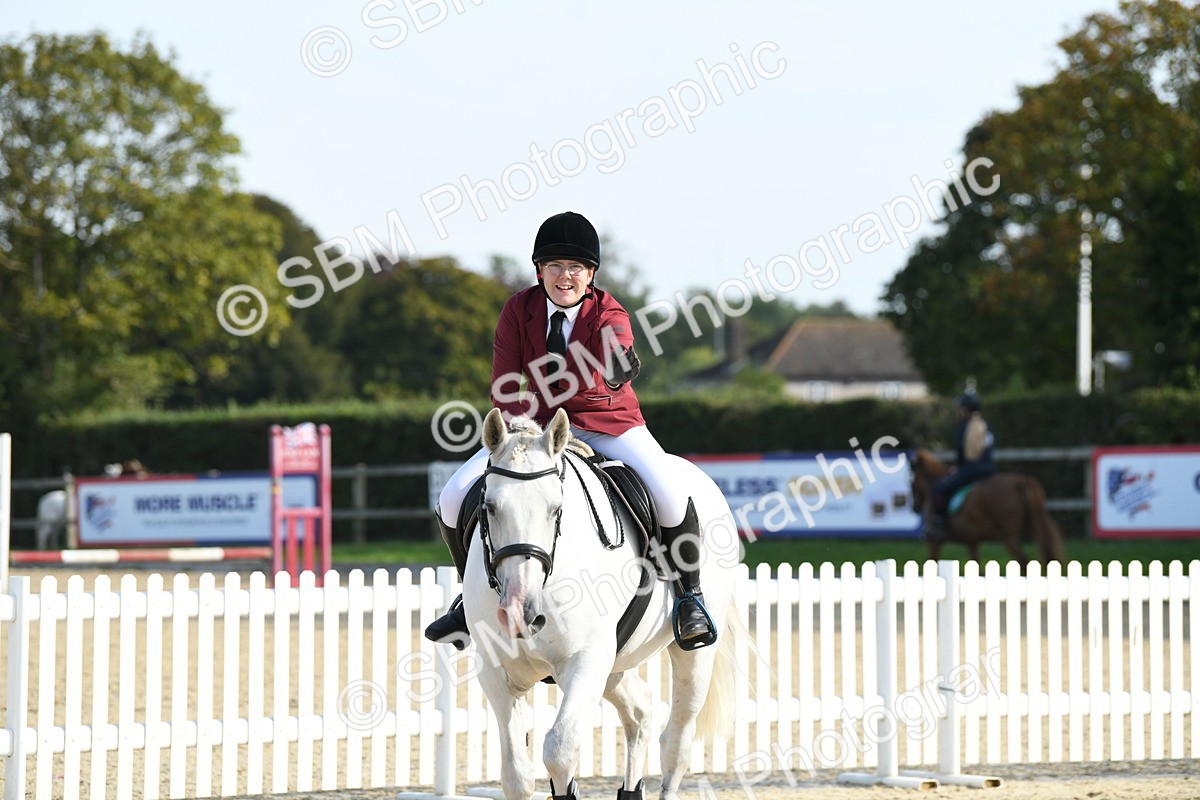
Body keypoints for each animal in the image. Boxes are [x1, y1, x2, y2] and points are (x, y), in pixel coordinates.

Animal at [462, 408, 742, 800]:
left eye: (556, 508)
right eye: (489, 507)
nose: (520, 611)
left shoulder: (585, 660)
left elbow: (560, 751)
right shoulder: (496, 672)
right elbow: (516, 776)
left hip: (691, 656)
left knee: (676, 742)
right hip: (614, 665)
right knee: (640, 711)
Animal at [909, 448, 1067, 567]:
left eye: (910, 478)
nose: (914, 507)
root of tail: (1019, 481)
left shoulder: (934, 542)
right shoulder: (971, 542)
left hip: (1009, 537)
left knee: (1023, 561)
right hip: (1033, 526)